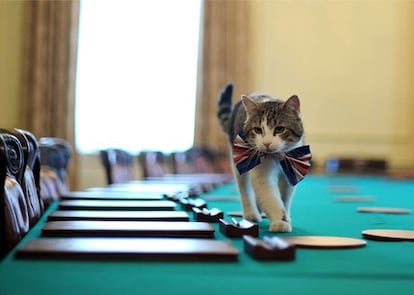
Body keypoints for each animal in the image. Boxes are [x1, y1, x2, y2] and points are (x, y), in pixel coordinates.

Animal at [217, 84, 310, 234]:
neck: (278, 158)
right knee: (244, 189)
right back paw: (251, 213)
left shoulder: (290, 171)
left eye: (279, 129)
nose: (266, 143)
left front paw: (286, 217)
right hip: (238, 159)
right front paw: (280, 221)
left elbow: (285, 198)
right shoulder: (261, 173)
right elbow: (270, 197)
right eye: (258, 130)